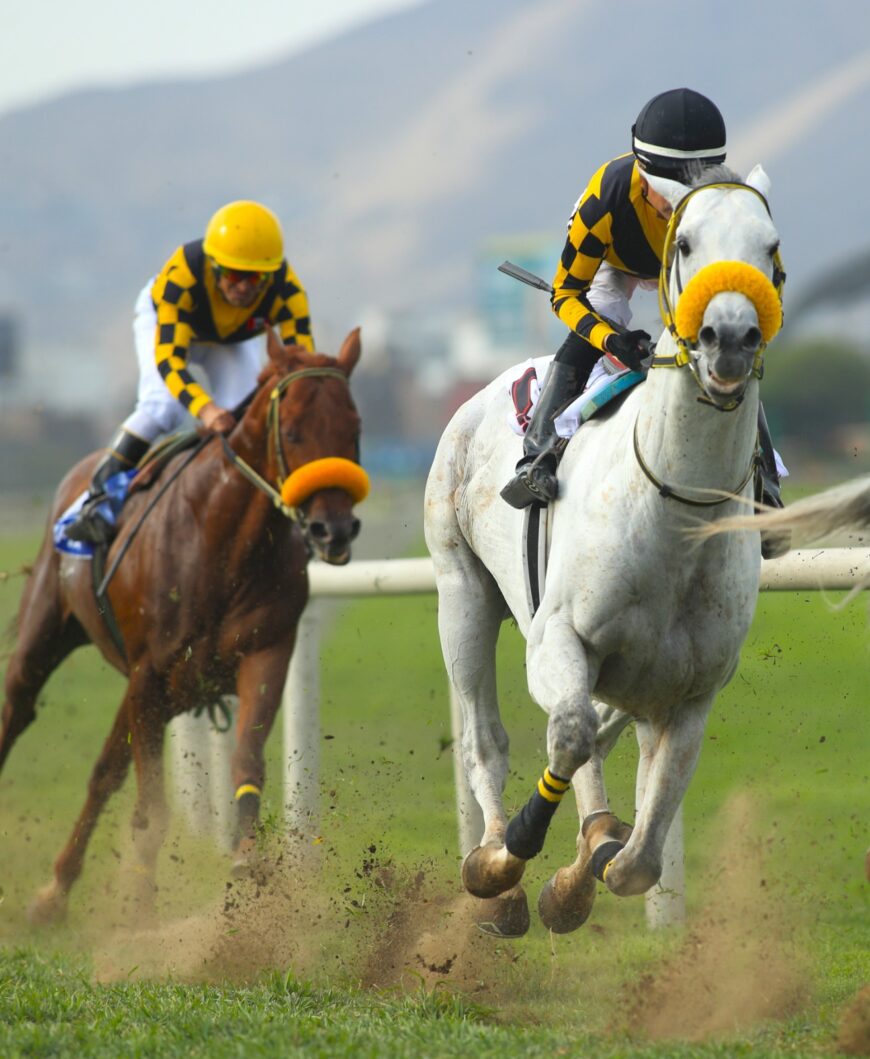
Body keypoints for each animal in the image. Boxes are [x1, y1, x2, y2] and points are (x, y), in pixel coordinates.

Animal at [0, 326, 368, 923]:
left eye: (353, 430)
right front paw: (140, 901)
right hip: (49, 634)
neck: (223, 542)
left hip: (168, 690)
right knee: (19, 709)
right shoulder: (150, 673)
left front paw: (246, 858)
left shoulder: (265, 652)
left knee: (104, 772)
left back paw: (55, 890)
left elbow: (245, 758)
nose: (332, 530)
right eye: (291, 430)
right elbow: (152, 803)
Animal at [425, 163, 787, 936]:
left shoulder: (693, 690)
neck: (673, 512)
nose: (730, 337)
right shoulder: (556, 636)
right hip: (461, 595)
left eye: (770, 246)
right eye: (686, 242)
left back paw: (590, 838)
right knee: (489, 739)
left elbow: (638, 858)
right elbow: (567, 732)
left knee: (598, 736)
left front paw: (586, 871)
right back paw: (496, 870)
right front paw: (520, 857)